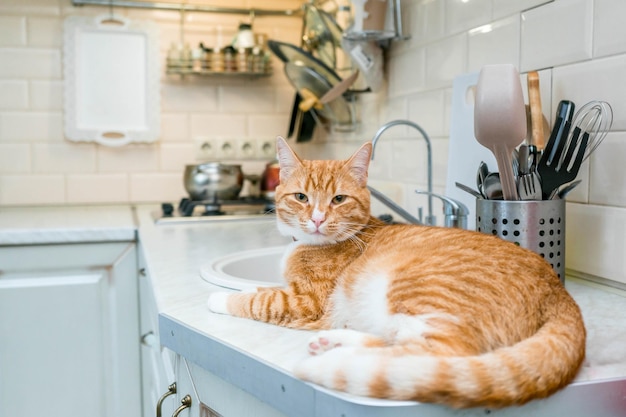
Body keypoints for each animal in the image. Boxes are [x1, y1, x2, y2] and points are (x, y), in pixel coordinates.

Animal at [207, 136, 584, 406]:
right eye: (301, 197)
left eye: (339, 199)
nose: (317, 219)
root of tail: (558, 291)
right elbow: (262, 290)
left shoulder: (305, 301)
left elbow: (262, 300)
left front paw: (219, 300)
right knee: (395, 340)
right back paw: (335, 342)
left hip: (413, 288)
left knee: (432, 359)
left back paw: (341, 356)